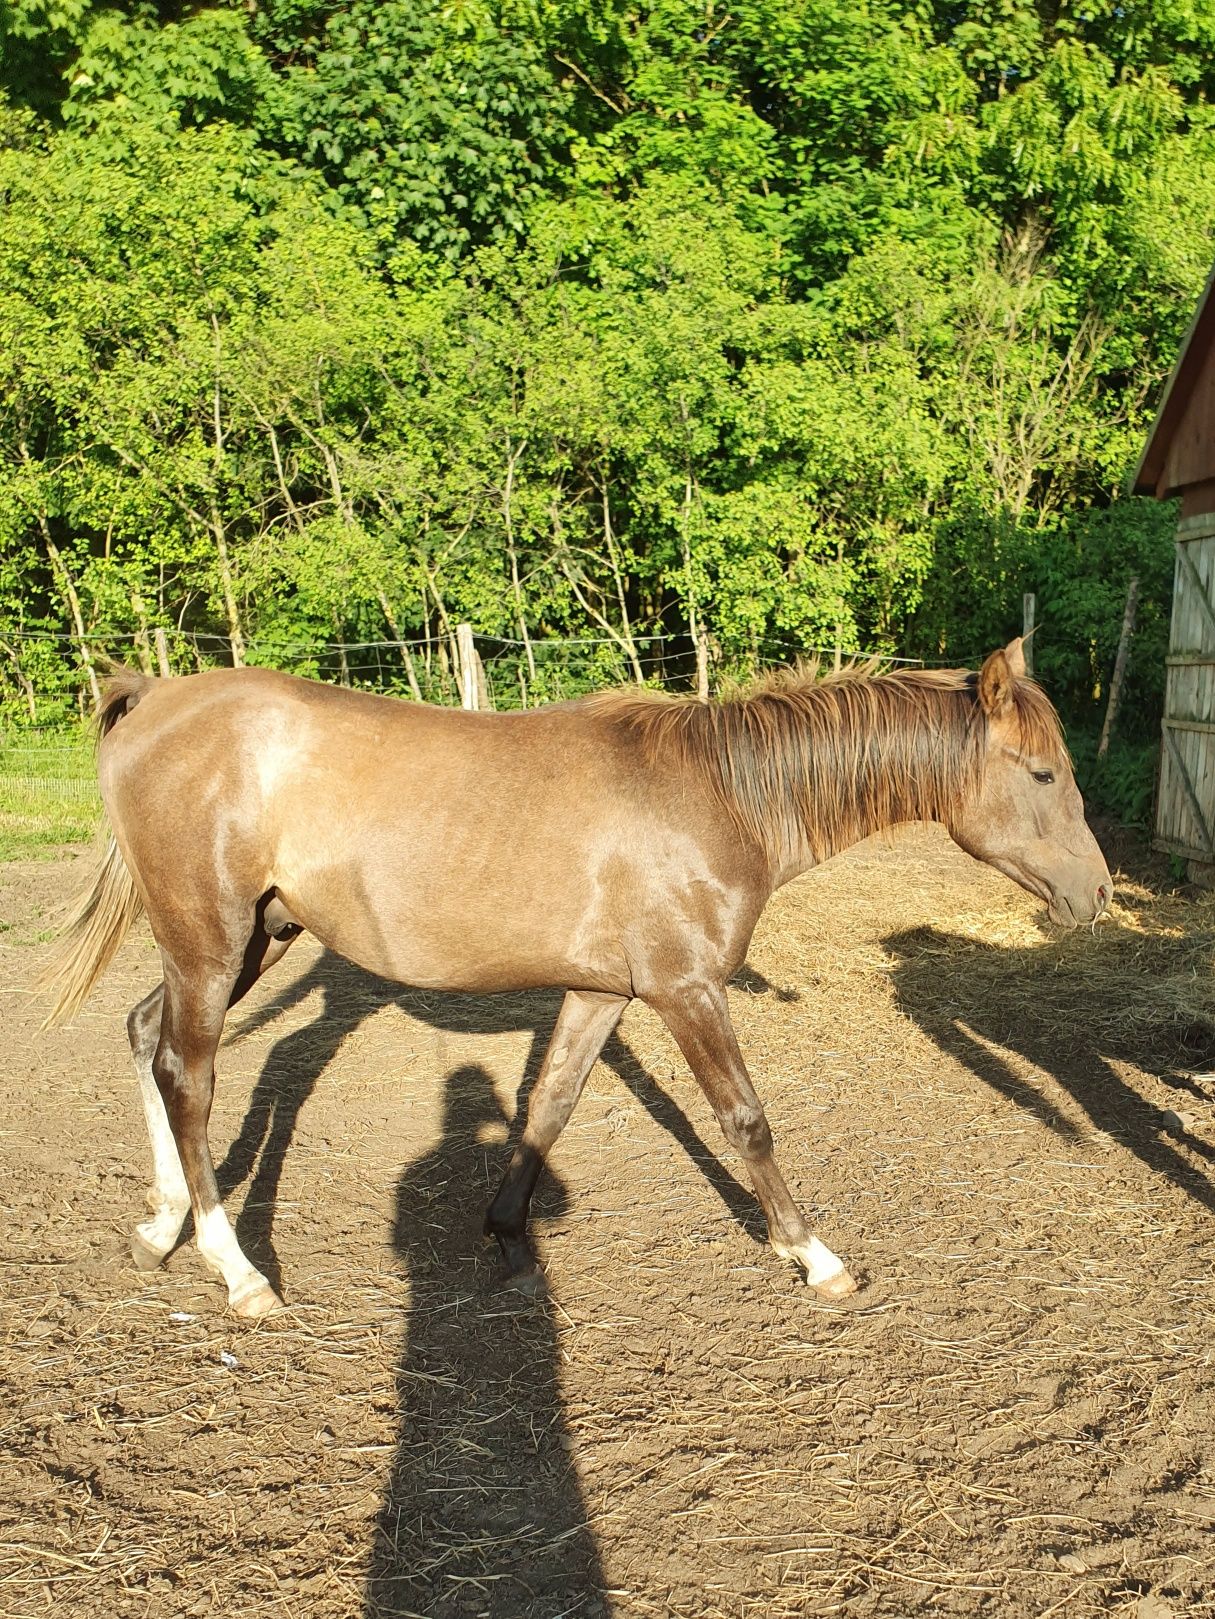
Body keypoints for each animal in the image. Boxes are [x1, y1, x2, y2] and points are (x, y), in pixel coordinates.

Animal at [42, 634, 1121, 1314]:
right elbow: (745, 1120)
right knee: (187, 1075)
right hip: (212, 939)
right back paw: (237, 1271)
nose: (1099, 893)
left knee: (144, 1035)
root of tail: (153, 697)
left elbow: (548, 1103)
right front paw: (812, 1252)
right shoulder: (686, 991)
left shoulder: (604, 993)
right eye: (1040, 774)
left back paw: (161, 1224)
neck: (721, 794)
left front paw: (504, 1229)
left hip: (248, 938)